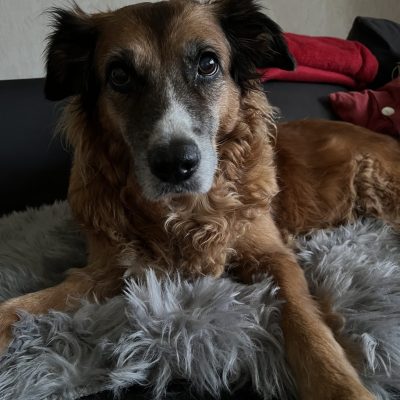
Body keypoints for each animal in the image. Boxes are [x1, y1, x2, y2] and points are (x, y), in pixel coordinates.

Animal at [1, 0, 399, 398]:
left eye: (207, 64)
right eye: (120, 75)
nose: (175, 165)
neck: (185, 211)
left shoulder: (272, 254)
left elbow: (304, 320)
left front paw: (339, 386)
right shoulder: (108, 268)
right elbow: (27, 303)